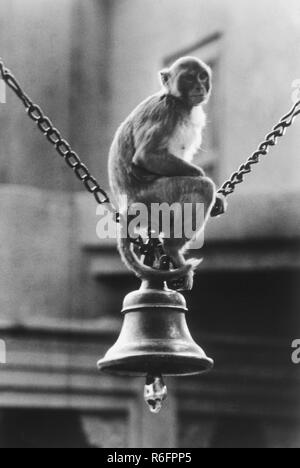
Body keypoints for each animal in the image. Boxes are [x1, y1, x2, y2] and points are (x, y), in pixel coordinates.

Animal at [108, 54, 225, 288]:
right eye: (188, 78)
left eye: (202, 76)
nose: (199, 86)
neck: (181, 103)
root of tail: (128, 203)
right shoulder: (165, 112)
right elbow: (146, 156)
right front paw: (208, 183)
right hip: (154, 196)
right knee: (201, 189)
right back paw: (173, 249)